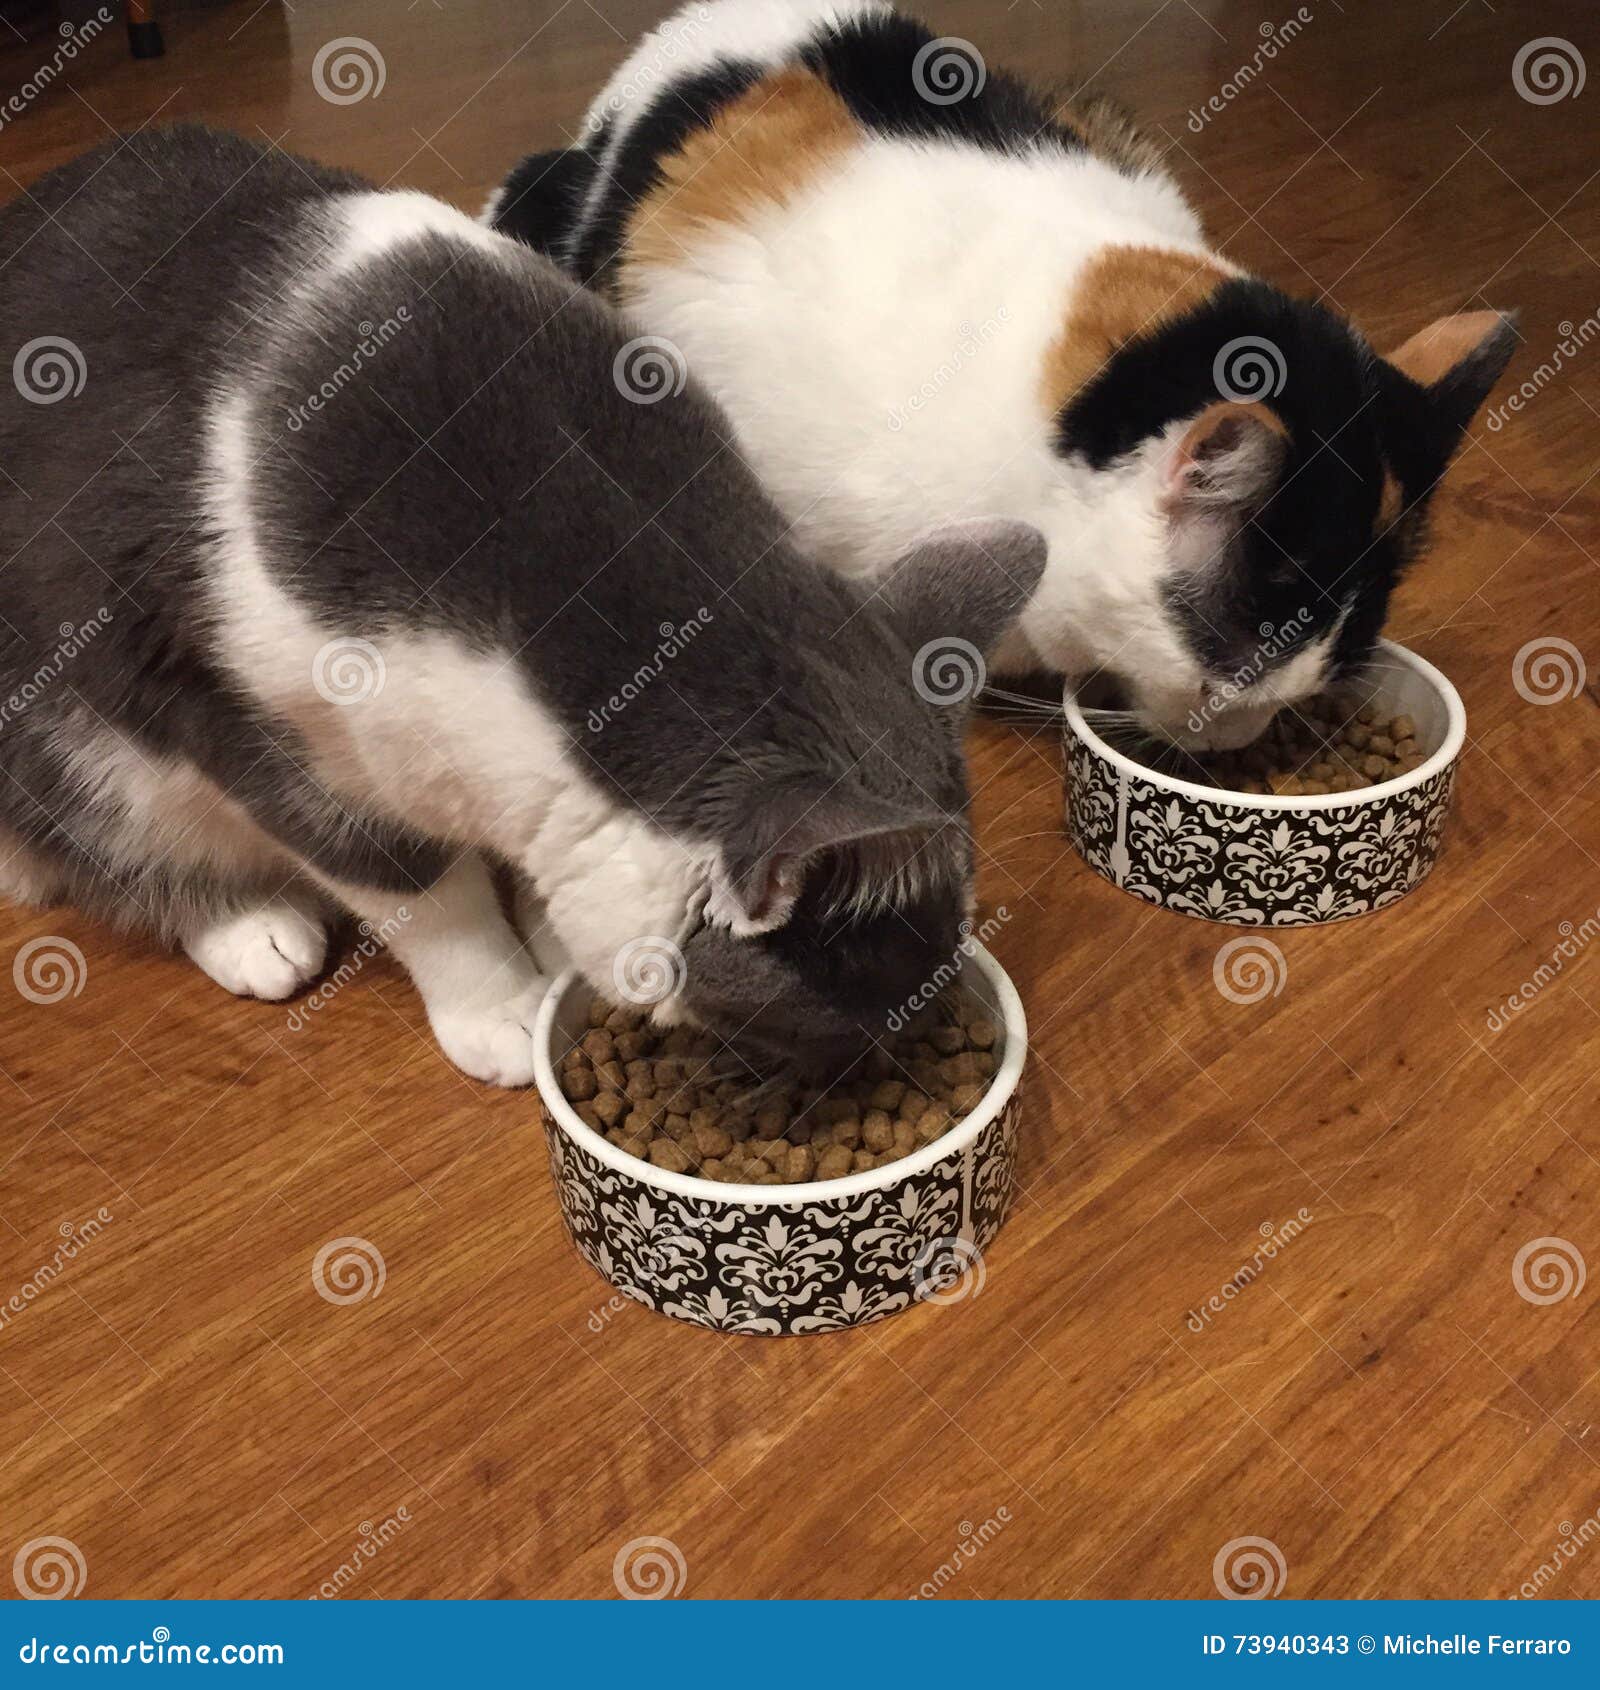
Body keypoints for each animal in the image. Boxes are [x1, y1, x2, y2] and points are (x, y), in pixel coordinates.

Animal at [0, 128, 1047, 1081]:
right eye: (862, 1011)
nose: (893, 1059)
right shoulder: (259, 724)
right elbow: (424, 893)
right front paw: (499, 1003)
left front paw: (548, 933)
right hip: (77, 741)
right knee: (98, 840)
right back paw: (248, 925)